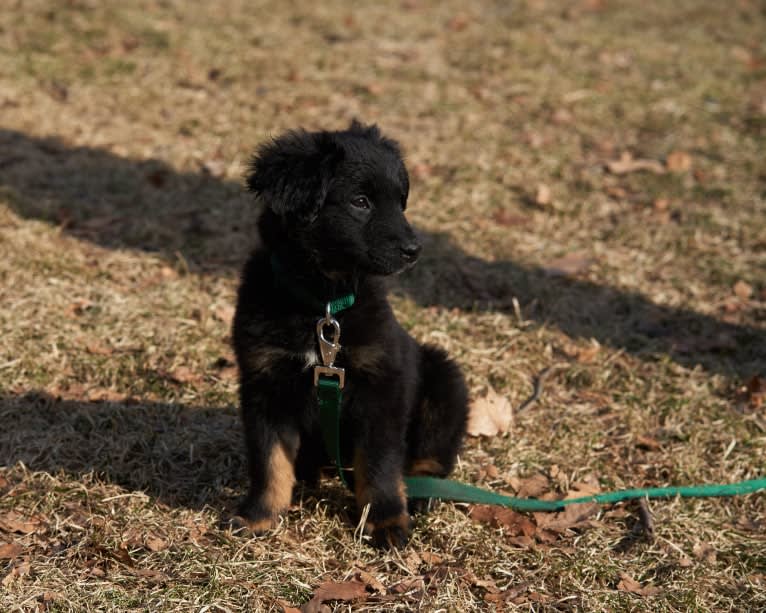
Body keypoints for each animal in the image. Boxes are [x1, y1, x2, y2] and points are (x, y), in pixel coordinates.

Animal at [231, 119, 468, 544]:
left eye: (400, 202)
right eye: (361, 202)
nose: (414, 250)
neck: (322, 304)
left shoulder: (382, 386)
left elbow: (379, 463)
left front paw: (386, 519)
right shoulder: (263, 383)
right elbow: (269, 459)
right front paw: (260, 515)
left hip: (444, 378)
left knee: (434, 452)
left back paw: (421, 492)